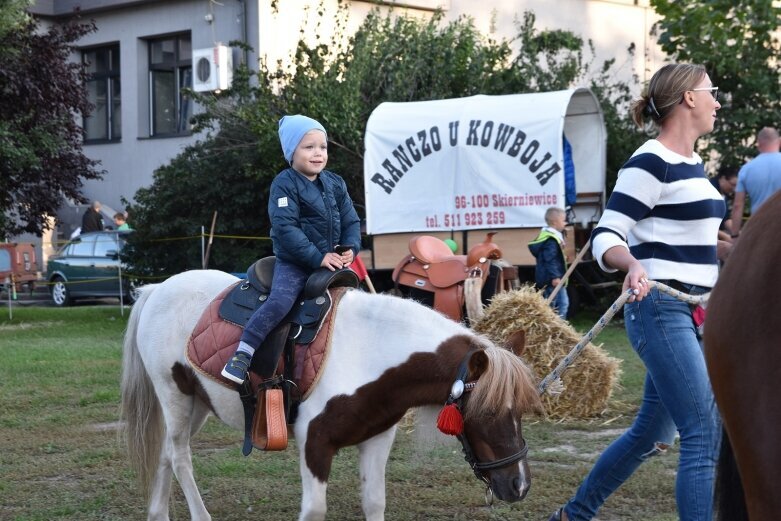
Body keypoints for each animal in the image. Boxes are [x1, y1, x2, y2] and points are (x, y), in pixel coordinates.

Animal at [119, 268, 544, 520]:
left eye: (521, 411)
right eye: (487, 412)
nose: (520, 486)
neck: (371, 349)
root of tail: (157, 289)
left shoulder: (376, 439)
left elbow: (374, 503)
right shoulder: (315, 443)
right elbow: (314, 511)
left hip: (196, 405)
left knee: (166, 453)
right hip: (174, 395)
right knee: (180, 458)